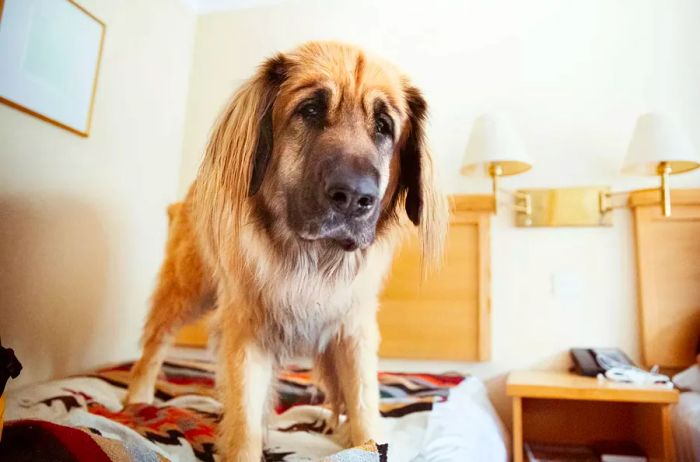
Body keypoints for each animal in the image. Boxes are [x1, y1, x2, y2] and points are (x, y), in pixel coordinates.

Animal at [123, 41, 446, 460]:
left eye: (383, 127)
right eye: (310, 110)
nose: (355, 196)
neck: (311, 258)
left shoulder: (352, 329)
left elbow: (362, 400)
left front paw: (366, 440)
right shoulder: (248, 331)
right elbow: (244, 420)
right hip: (186, 290)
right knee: (155, 342)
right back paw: (138, 397)